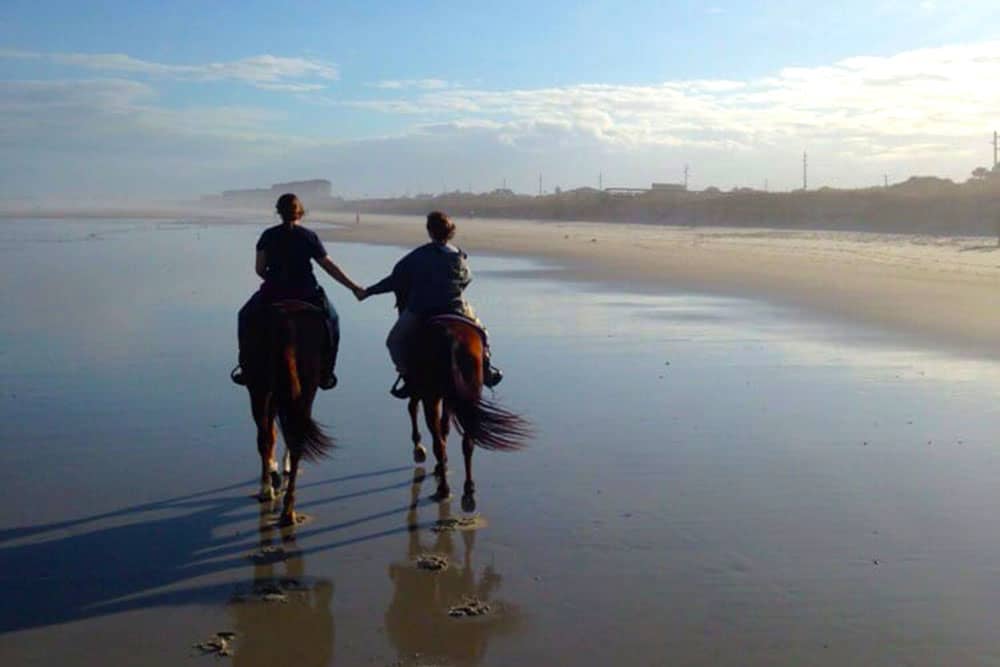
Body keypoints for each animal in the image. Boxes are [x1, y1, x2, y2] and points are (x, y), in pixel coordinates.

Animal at [243, 302, 334, 528]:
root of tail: (286, 323)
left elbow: (274, 433)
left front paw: (276, 469)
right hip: (304, 388)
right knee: (293, 441)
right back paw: (286, 509)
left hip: (259, 387)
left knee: (267, 437)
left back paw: (268, 491)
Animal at [404, 316, 532, 516]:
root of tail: (451, 339)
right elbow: (445, 427)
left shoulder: (425, 391)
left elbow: (416, 410)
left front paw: (420, 450)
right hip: (468, 391)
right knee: (467, 442)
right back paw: (468, 492)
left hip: (431, 394)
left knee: (437, 441)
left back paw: (444, 488)